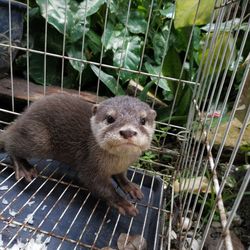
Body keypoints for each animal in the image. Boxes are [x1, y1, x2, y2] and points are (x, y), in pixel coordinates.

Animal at [0, 94, 156, 217]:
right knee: (10, 140)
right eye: (110, 118)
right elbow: (100, 186)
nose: (128, 132)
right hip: (39, 139)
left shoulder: (123, 167)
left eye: (143, 120)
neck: (117, 162)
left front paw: (130, 186)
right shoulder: (90, 165)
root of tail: (22, 116)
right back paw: (23, 166)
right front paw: (122, 202)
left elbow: (122, 176)